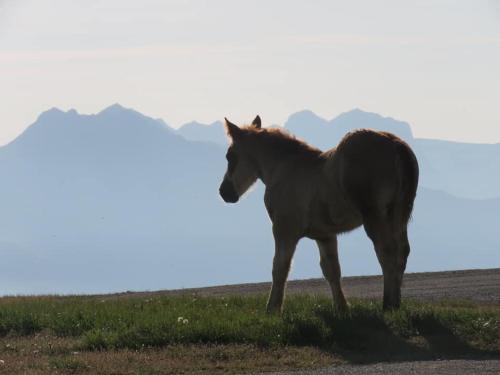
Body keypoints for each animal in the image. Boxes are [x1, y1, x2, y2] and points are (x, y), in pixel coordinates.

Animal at [219, 116, 418, 312]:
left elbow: (280, 267)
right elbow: (332, 270)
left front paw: (272, 309)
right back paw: (396, 303)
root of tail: (395, 144)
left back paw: (388, 305)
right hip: (399, 215)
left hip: (375, 216)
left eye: (230, 156)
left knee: (386, 252)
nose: (224, 192)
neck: (283, 169)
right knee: (402, 252)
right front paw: (342, 308)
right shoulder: (325, 235)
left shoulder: (284, 229)